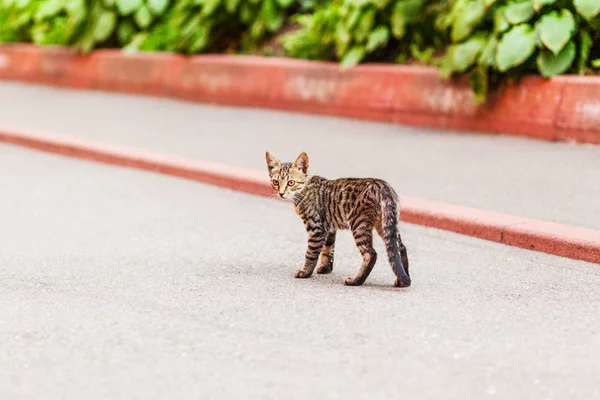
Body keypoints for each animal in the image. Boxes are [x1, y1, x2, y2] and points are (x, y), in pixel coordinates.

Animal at [264, 152, 410, 288]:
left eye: (291, 182)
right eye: (276, 182)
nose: (281, 193)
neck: (303, 190)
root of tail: (382, 185)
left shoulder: (316, 228)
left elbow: (311, 253)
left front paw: (305, 272)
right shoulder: (329, 227)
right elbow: (328, 249)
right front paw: (325, 268)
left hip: (358, 224)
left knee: (371, 254)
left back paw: (356, 281)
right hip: (386, 224)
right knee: (400, 248)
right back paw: (402, 280)